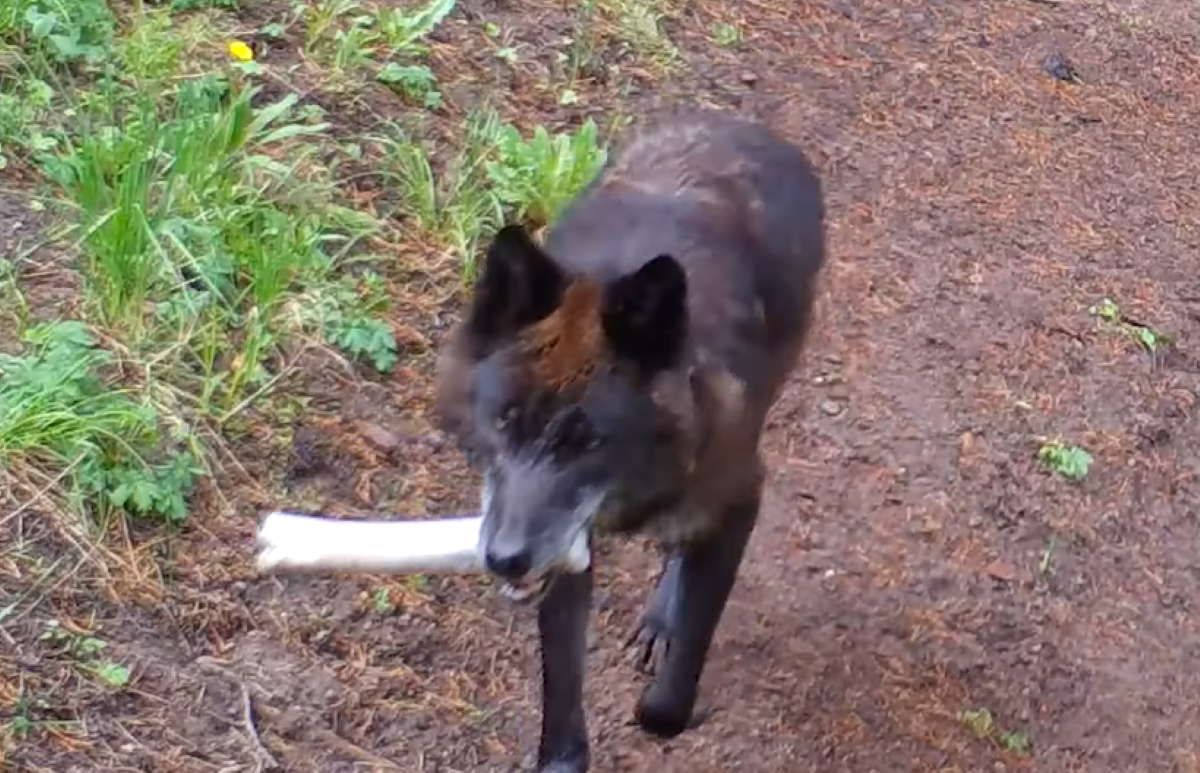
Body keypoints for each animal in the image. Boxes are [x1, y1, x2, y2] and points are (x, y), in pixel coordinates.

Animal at [436, 110, 830, 773]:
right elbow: (562, 688)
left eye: (589, 441)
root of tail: (738, 125)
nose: (506, 557)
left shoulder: (739, 499)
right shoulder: (570, 548)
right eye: (504, 422)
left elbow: (671, 698)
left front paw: (668, 693)